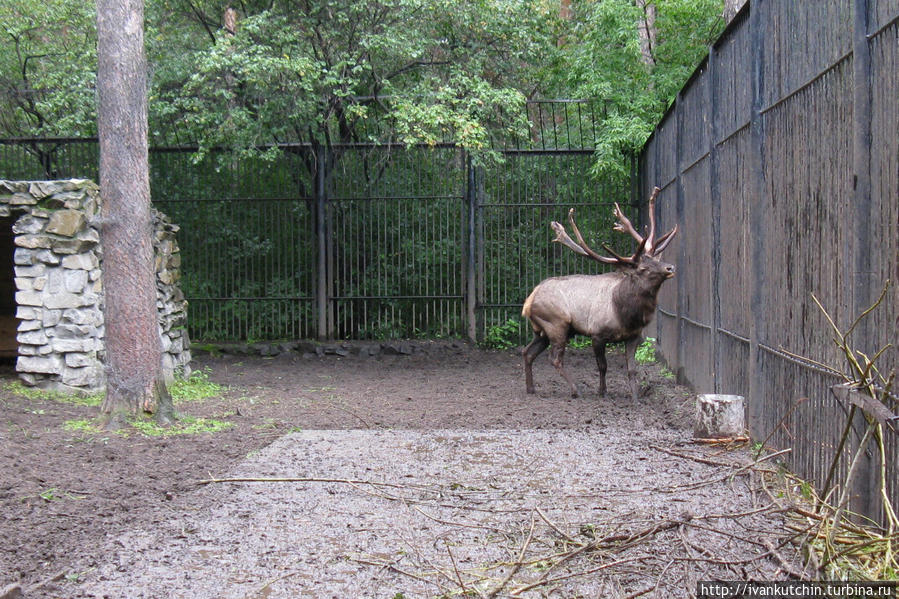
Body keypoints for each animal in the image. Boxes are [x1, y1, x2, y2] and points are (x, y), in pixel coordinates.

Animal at [524, 188, 680, 400]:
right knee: (555, 358)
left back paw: (531, 388)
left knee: (527, 352)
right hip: (556, 324)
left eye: (656, 259)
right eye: (643, 268)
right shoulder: (597, 334)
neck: (627, 314)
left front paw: (636, 397)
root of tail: (529, 300)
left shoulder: (634, 336)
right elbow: (602, 366)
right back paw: (576, 390)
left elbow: (632, 369)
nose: (670, 267)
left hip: (542, 330)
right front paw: (602, 391)